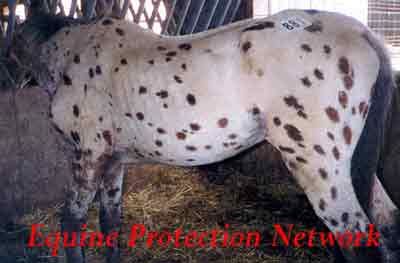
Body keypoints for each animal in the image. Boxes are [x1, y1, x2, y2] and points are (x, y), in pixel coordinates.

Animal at [22, 9, 400, 262]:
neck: (75, 52)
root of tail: (363, 34)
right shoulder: (114, 162)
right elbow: (110, 223)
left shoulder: (89, 155)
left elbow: (71, 224)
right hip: (348, 164)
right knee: (389, 223)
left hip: (318, 166)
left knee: (358, 239)